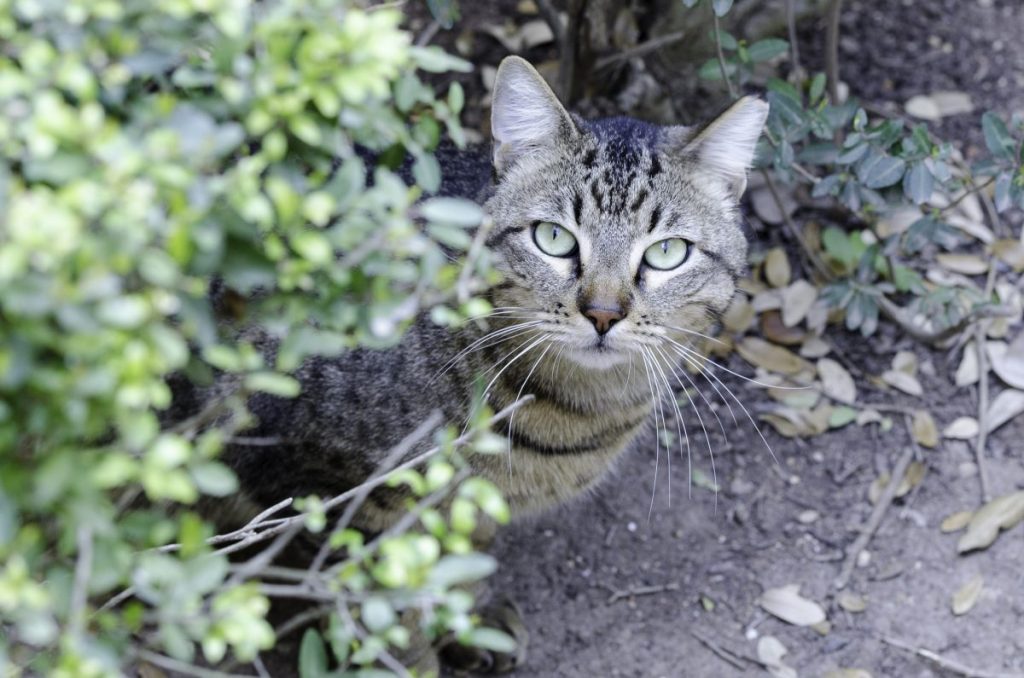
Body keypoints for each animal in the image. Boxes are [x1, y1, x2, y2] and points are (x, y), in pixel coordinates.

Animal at [184, 57, 770, 675]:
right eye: (553, 238)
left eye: (666, 252)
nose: (604, 313)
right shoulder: (324, 493)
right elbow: (385, 612)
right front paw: (415, 657)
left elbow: (457, 559)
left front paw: (469, 623)